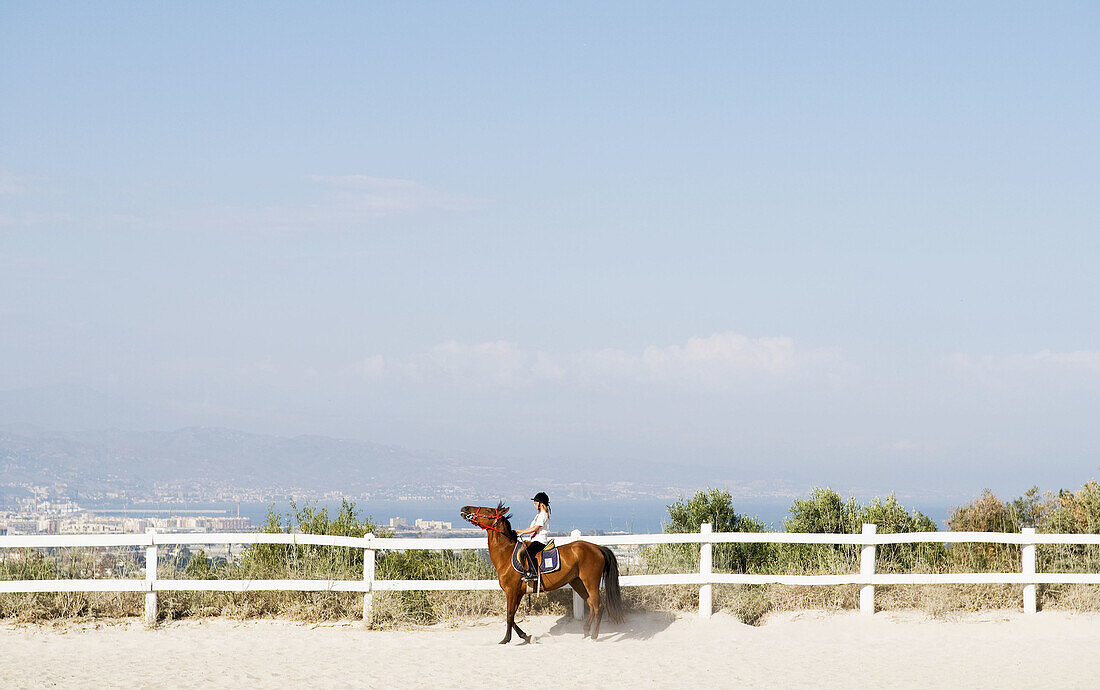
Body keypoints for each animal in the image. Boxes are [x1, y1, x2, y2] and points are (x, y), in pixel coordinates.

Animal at [459, 501, 624, 642]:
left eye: (488, 510)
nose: (464, 508)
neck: (505, 555)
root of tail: (597, 547)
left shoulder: (511, 591)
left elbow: (509, 615)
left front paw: (506, 639)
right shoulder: (517, 593)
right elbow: (512, 616)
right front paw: (525, 636)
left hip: (591, 582)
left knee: (598, 606)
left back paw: (594, 636)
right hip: (577, 582)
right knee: (590, 604)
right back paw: (585, 632)